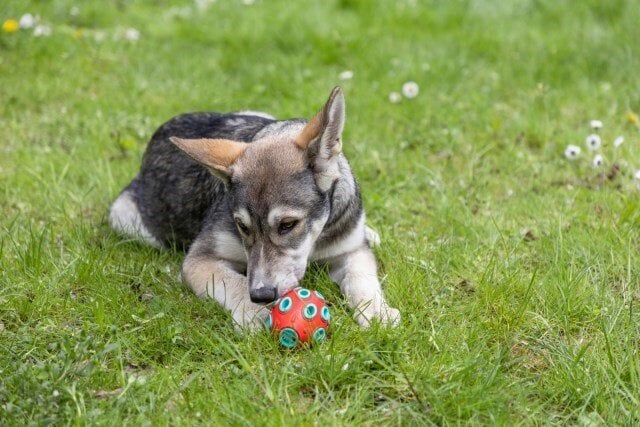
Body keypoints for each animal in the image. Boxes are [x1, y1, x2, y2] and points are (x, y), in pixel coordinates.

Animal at [110, 88, 400, 332]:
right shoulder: (200, 260)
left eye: (288, 225)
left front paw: (378, 312)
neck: (316, 240)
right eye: (242, 226)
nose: (261, 295)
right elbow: (233, 281)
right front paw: (255, 312)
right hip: (124, 218)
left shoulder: (352, 250)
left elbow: (362, 279)